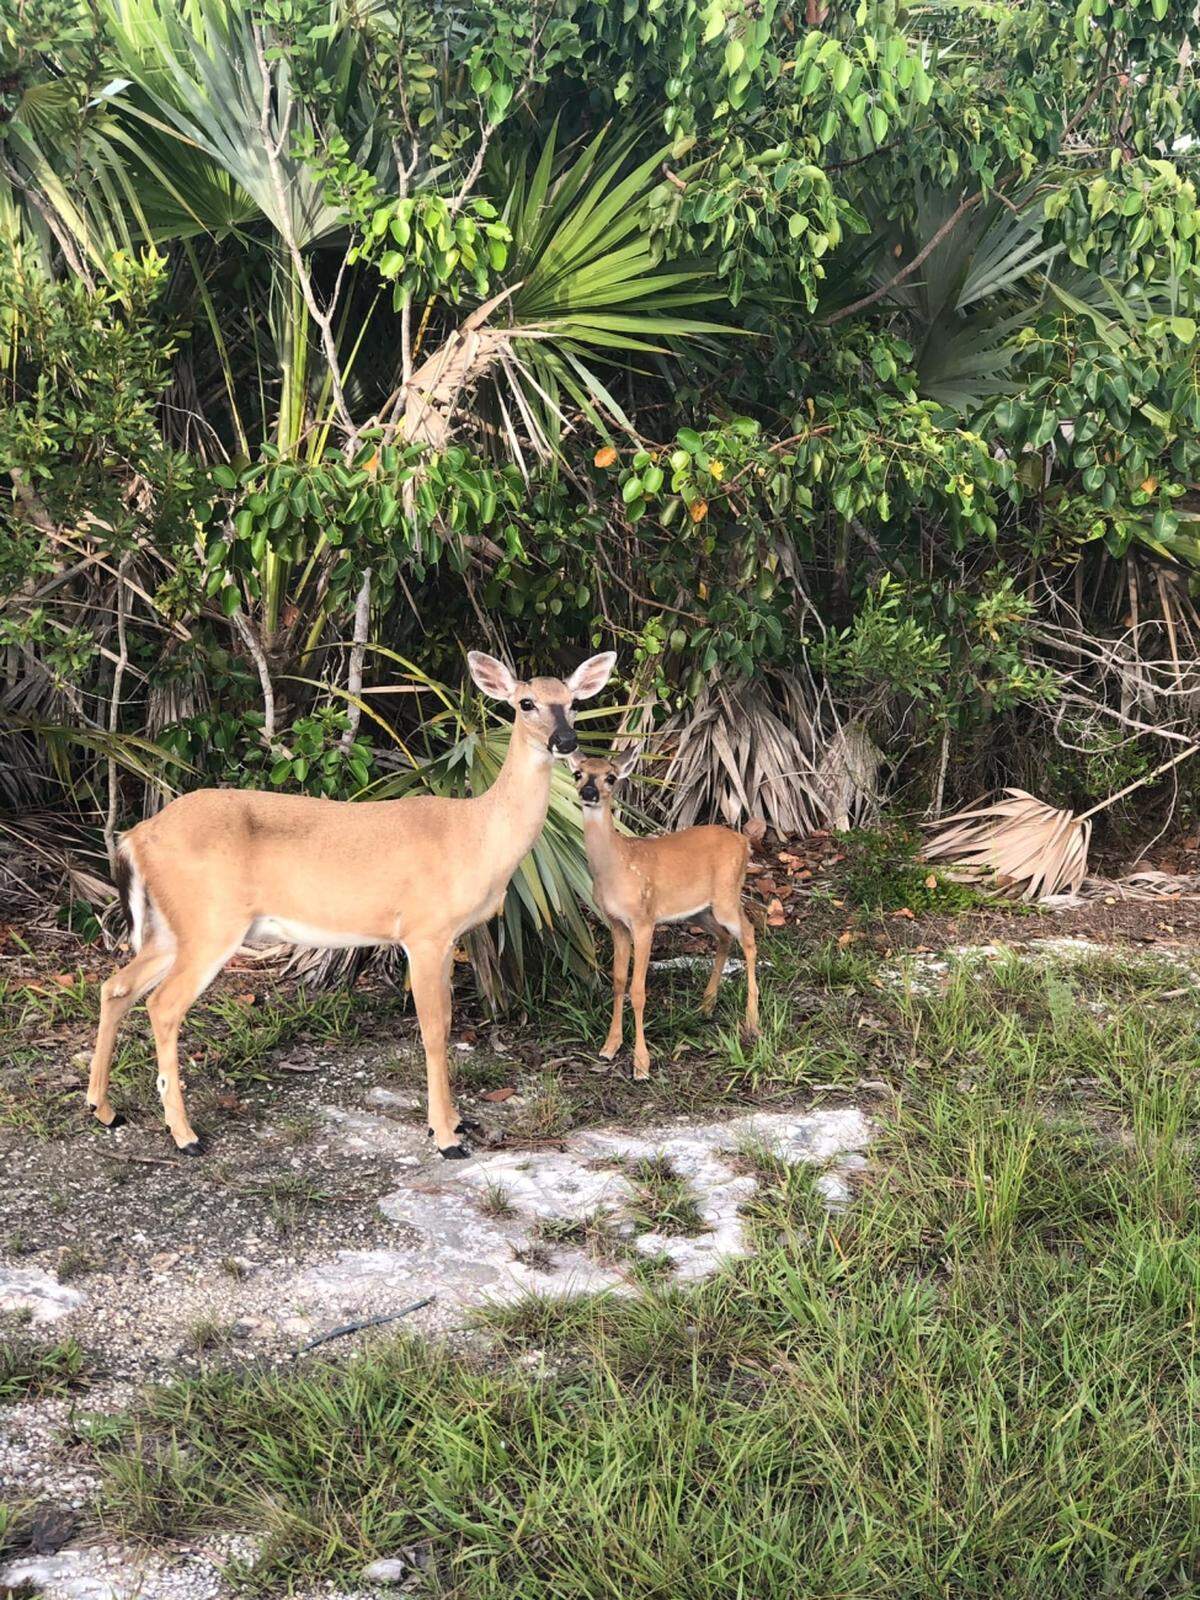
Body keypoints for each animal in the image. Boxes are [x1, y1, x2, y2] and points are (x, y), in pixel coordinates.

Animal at [85, 649, 617, 1160]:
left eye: (573, 701)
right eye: (526, 703)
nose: (566, 741)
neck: (478, 835)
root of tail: (135, 837)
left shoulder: (449, 938)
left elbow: (446, 1021)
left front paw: (456, 1120)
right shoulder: (423, 930)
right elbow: (434, 1028)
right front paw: (446, 1136)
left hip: (171, 928)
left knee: (116, 987)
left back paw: (104, 1109)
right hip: (211, 921)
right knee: (162, 1004)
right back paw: (185, 1136)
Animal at [568, 747, 759, 1079]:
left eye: (611, 777)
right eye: (578, 773)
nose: (588, 792)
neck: (616, 867)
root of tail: (744, 841)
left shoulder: (644, 920)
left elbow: (638, 990)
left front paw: (641, 1064)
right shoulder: (616, 922)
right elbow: (618, 980)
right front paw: (609, 1046)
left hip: (727, 895)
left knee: (748, 934)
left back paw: (752, 1022)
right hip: (698, 911)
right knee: (724, 937)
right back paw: (706, 1005)